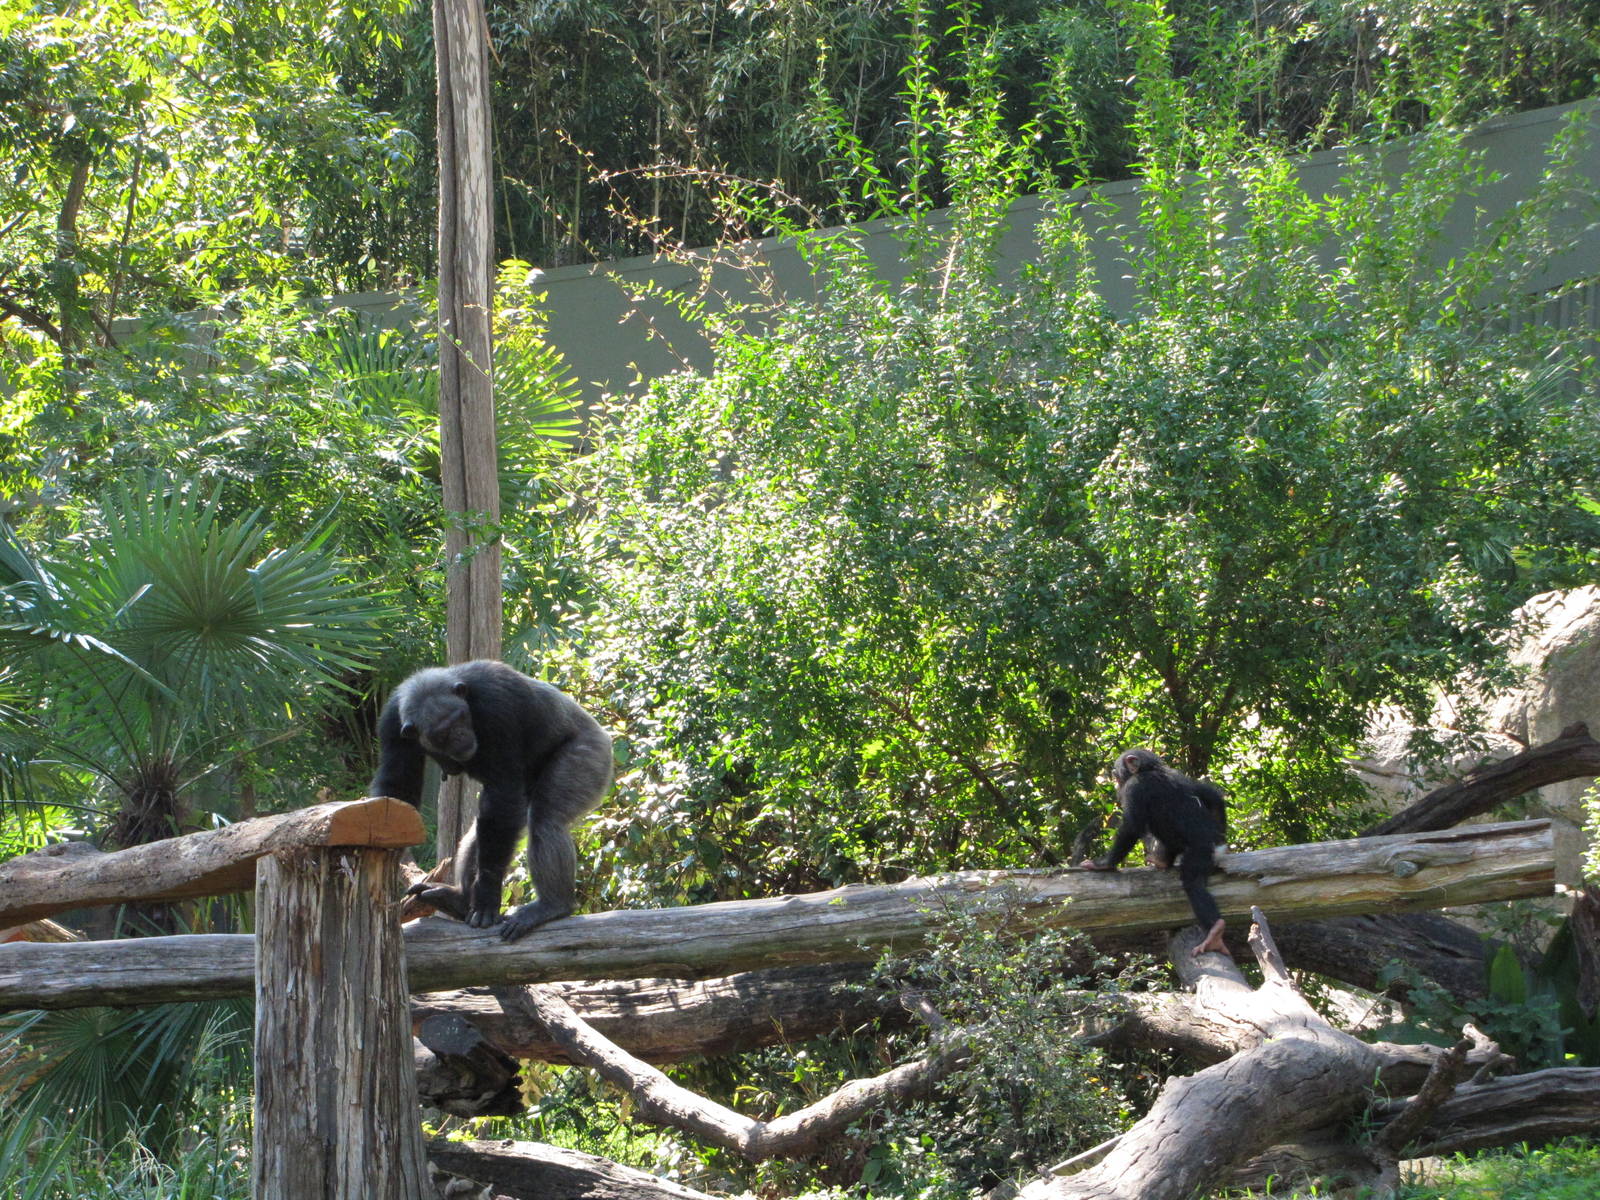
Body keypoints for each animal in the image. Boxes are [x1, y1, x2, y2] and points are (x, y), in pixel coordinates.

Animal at [368, 659, 613, 942]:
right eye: (442, 733)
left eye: (459, 718)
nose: (460, 735)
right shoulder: (391, 724)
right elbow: (398, 785)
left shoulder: (497, 706)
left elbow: (502, 788)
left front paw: (486, 896)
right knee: (482, 830)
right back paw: (458, 900)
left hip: (590, 757)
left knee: (544, 819)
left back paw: (552, 905)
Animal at [1081, 747, 1229, 957]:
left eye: (1116, 774)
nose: (1116, 782)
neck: (1149, 770)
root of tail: (1217, 850)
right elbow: (1211, 795)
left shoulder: (1134, 789)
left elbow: (1131, 826)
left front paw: (1103, 864)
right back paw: (1163, 861)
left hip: (1199, 853)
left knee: (1193, 883)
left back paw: (1214, 934)